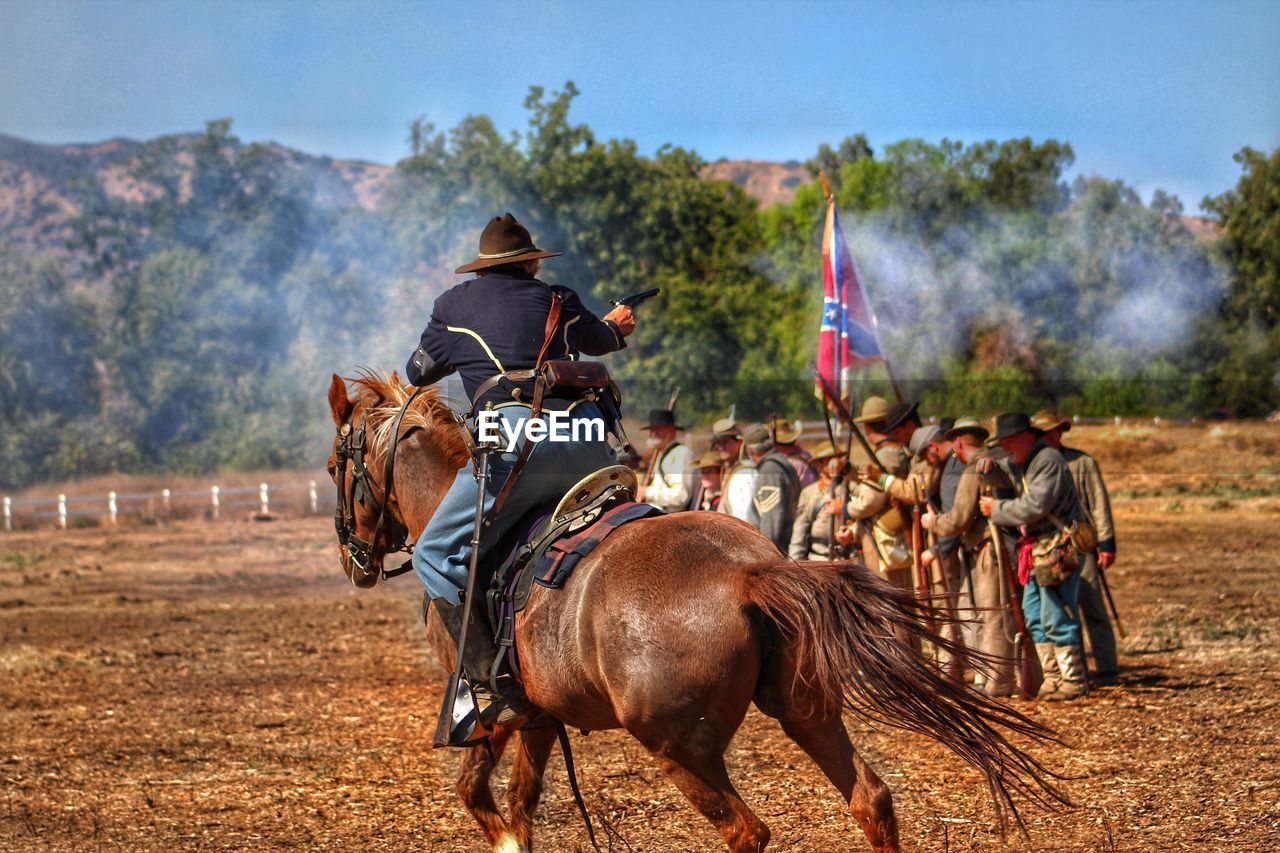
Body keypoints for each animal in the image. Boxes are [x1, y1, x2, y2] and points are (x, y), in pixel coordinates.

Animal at [325, 371, 1064, 850]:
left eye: (337, 462)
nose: (354, 557)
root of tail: (749, 572)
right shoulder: (536, 714)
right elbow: (520, 802)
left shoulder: (490, 710)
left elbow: (479, 794)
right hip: (808, 709)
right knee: (871, 800)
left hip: (681, 748)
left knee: (748, 832)